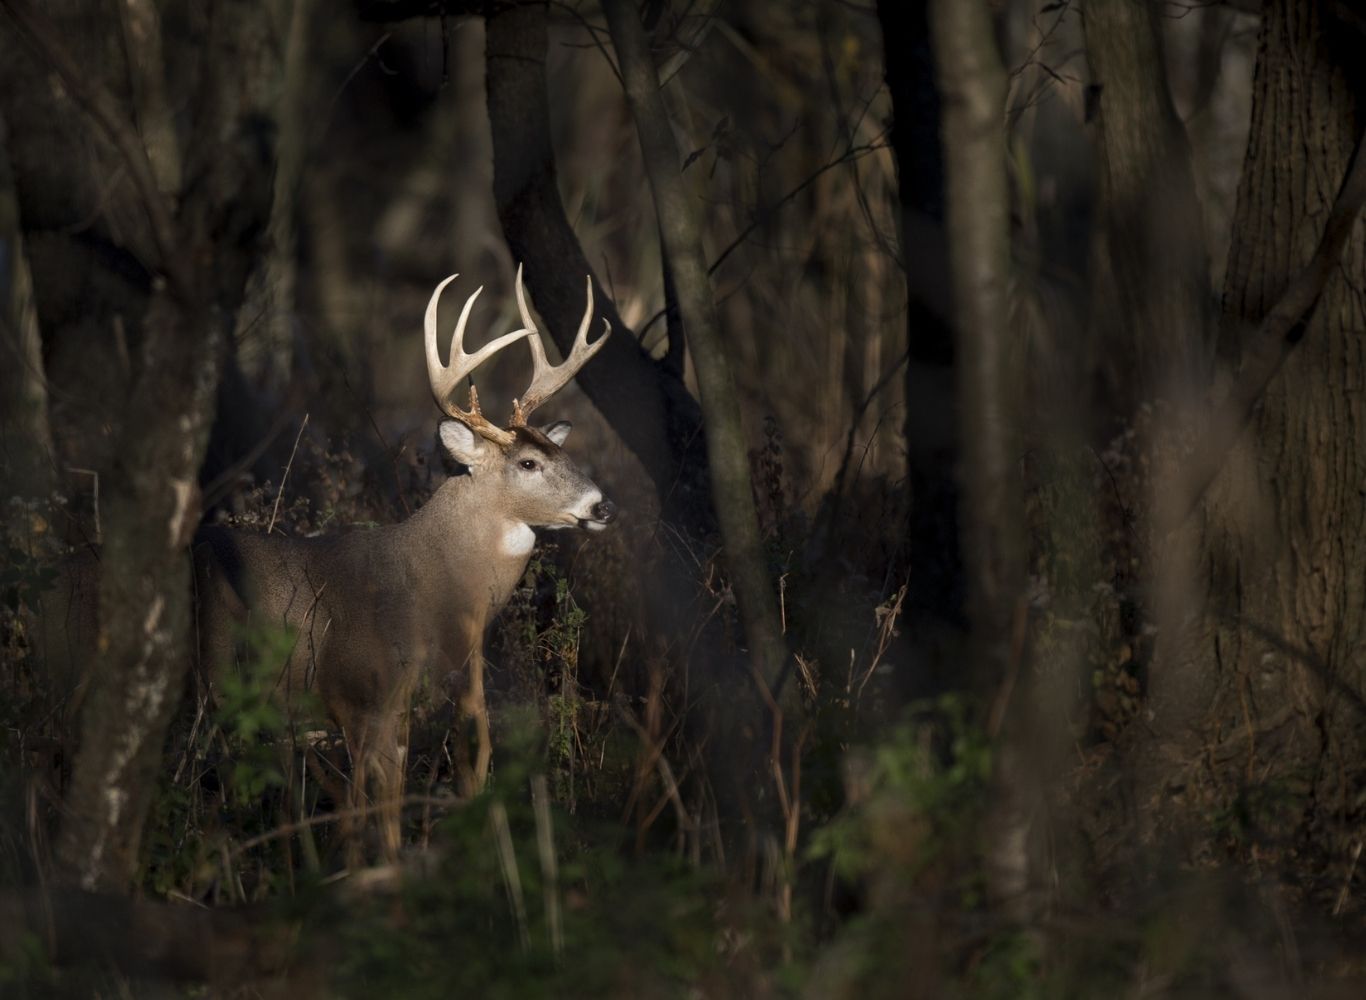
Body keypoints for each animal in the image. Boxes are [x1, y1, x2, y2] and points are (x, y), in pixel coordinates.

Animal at [191, 265, 617, 860]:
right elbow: (369, 803)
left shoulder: (410, 702)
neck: (427, 594)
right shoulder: (356, 691)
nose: (602, 506)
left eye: (563, 453)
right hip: (215, 674)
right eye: (529, 463)